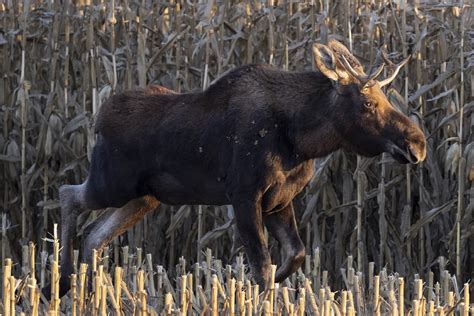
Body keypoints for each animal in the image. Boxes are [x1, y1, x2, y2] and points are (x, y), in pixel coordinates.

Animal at [54, 39, 426, 296]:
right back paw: (62, 282)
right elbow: (262, 266)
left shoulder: (279, 200)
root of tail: (98, 119)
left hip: (144, 197)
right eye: (368, 102)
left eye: (387, 97)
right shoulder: (245, 195)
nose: (418, 143)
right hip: (112, 183)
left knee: (95, 235)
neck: (301, 138)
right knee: (68, 194)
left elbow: (295, 255)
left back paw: (87, 291)